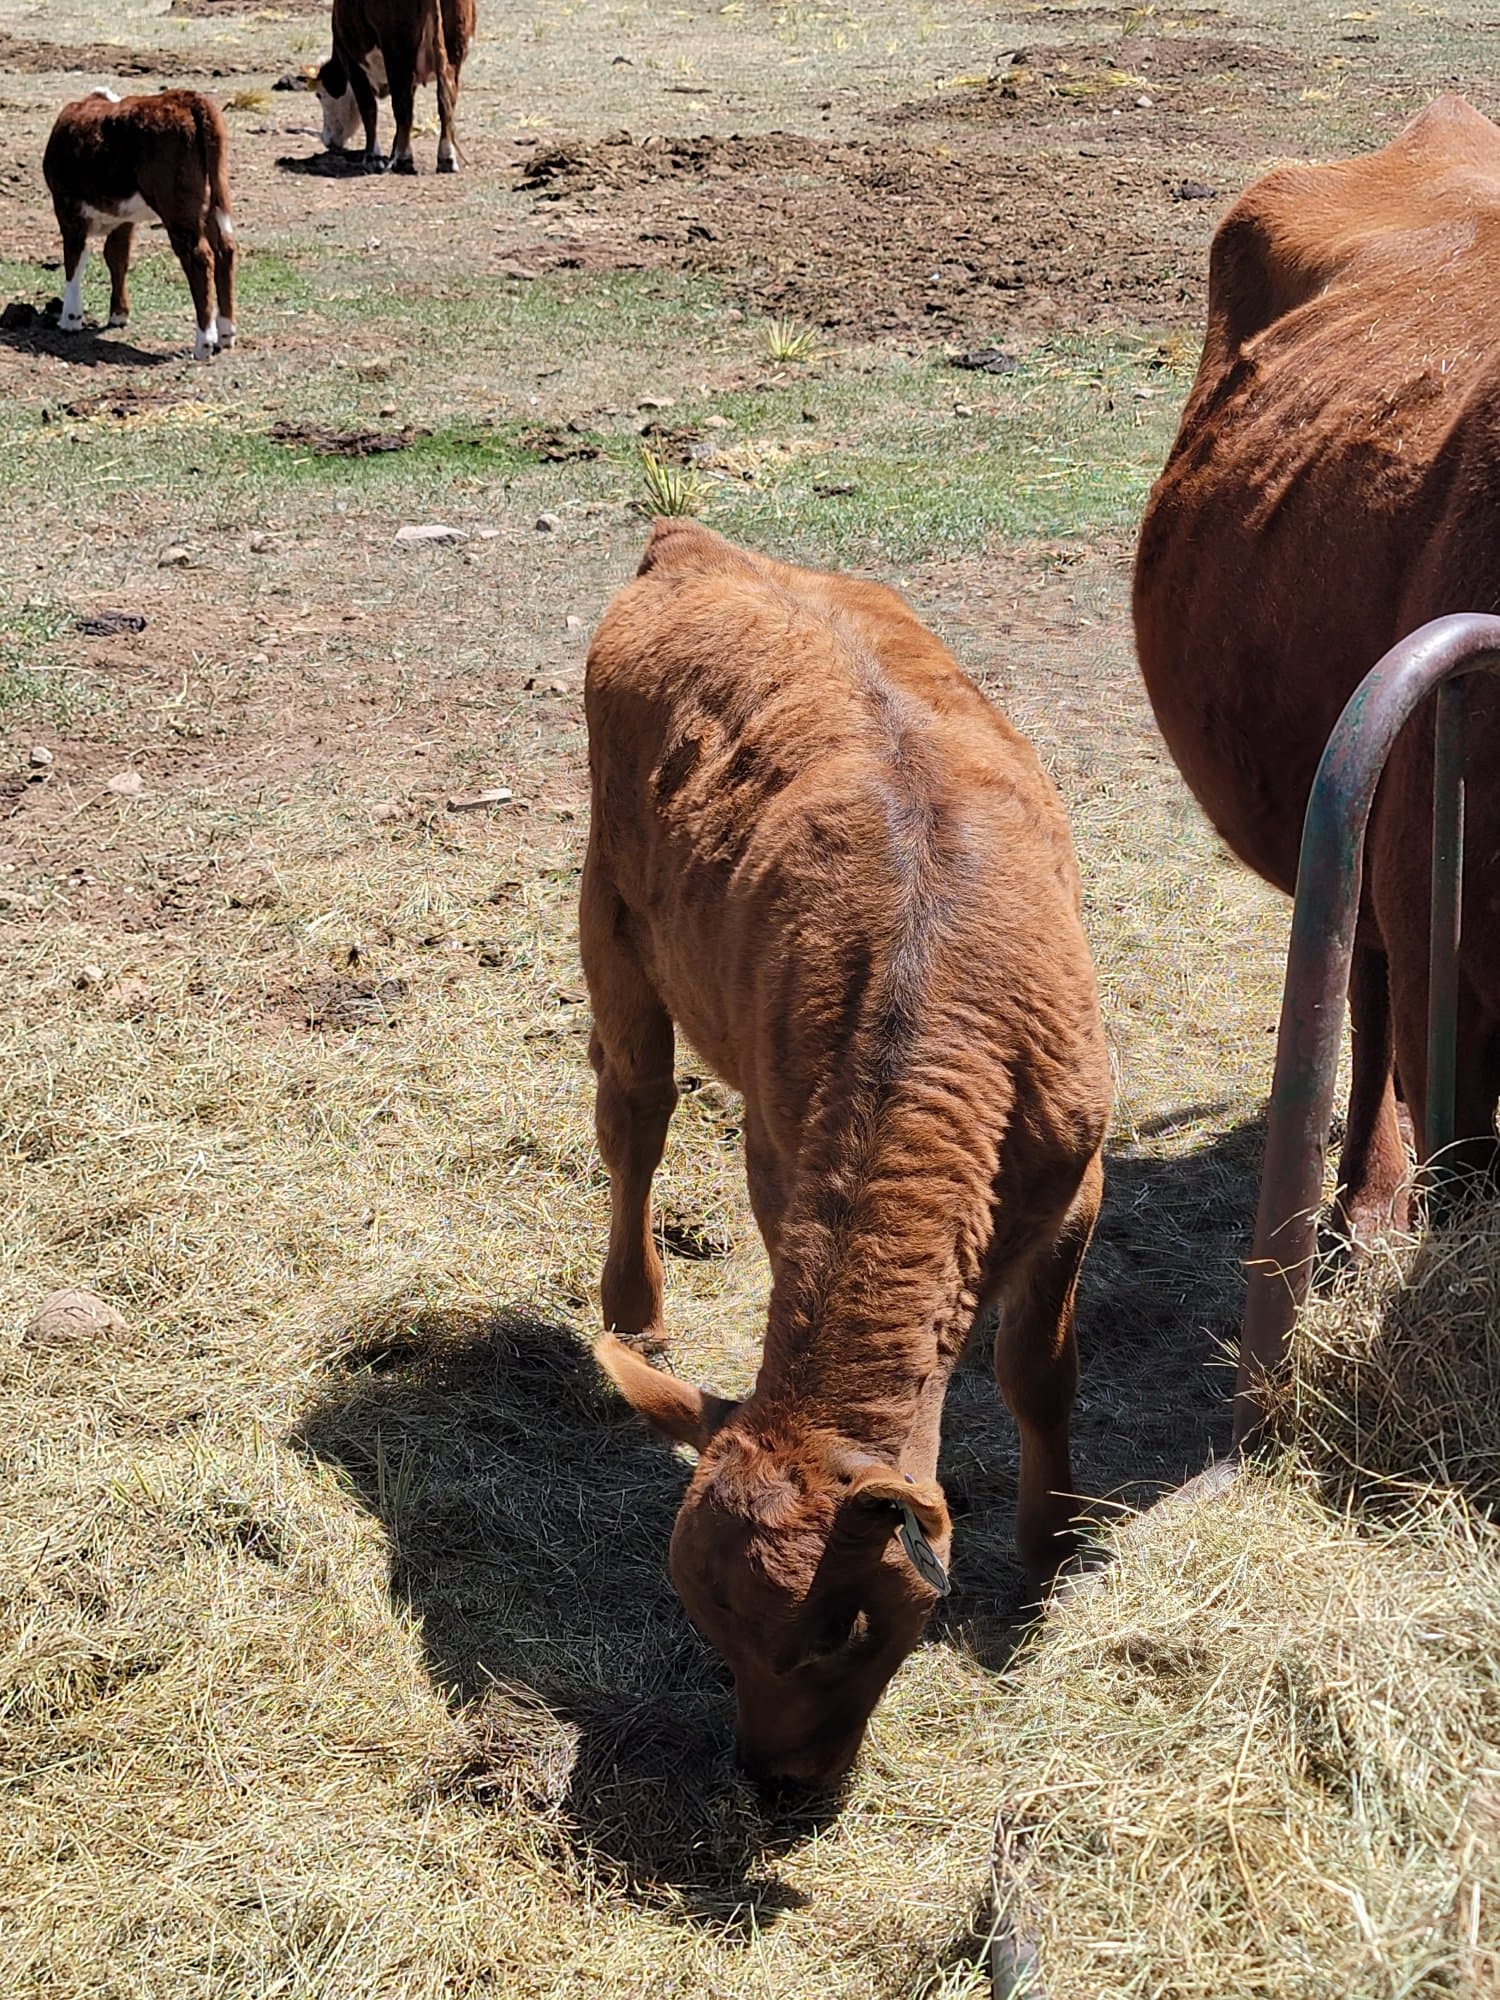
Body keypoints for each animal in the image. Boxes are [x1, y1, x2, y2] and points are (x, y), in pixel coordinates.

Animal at [42, 89, 236, 362]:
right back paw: (226, 333)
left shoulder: (66, 206)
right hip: (213, 200)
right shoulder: (124, 219)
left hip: (178, 206)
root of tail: (186, 97)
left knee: (200, 258)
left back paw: (204, 342)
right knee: (225, 250)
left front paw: (71, 318)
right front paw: (118, 313)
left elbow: (75, 260)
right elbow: (117, 257)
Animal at [314, 0, 475, 174]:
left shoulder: (351, 61)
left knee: (403, 108)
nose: (327, 140)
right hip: (452, 54)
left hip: (397, 56)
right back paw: (446, 158)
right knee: (445, 102)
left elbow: (368, 109)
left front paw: (373, 157)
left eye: (320, 95)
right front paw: (391, 155)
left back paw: (404, 160)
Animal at [584, 519, 1111, 1789]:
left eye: (843, 1626)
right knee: (634, 1113)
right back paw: (634, 1310)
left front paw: (1054, 1539)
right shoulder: (783, 1170)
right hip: (608, 911)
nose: (774, 1778)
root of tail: (691, 540)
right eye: (704, 1622)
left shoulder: (1080, 1178)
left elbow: (1039, 1368)